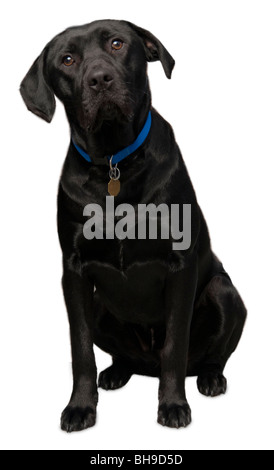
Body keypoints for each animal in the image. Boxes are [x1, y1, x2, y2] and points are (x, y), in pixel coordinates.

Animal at [19, 19, 246, 430]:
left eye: (117, 43)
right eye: (67, 59)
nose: (100, 79)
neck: (115, 161)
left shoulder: (181, 265)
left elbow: (174, 345)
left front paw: (173, 405)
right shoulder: (73, 272)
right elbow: (81, 350)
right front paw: (80, 407)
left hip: (225, 293)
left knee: (211, 354)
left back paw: (210, 379)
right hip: (99, 305)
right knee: (117, 355)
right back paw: (115, 373)